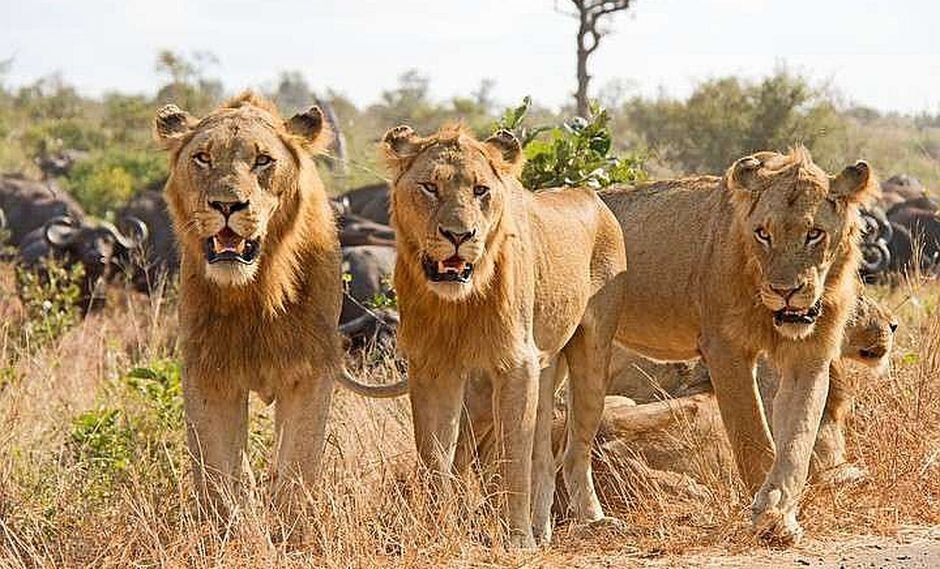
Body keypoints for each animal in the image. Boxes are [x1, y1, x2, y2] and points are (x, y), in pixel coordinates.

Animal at [154, 92, 348, 506]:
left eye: (262, 160)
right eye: (203, 157)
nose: (227, 206)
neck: (254, 290)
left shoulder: (312, 366)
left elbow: (298, 466)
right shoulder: (207, 368)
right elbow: (217, 474)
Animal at [378, 125, 628, 544]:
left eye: (481, 190)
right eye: (430, 187)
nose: (459, 235)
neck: (458, 303)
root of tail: (590, 195)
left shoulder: (516, 363)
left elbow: (513, 455)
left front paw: (517, 540)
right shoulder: (432, 365)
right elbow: (434, 453)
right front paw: (438, 531)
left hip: (592, 353)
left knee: (575, 449)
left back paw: (592, 520)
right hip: (537, 370)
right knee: (539, 454)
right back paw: (542, 528)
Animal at [600, 149, 876, 544]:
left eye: (814, 234)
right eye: (763, 233)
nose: (784, 291)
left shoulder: (809, 355)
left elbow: (797, 437)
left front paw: (779, 514)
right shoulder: (724, 348)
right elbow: (752, 435)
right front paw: (765, 517)